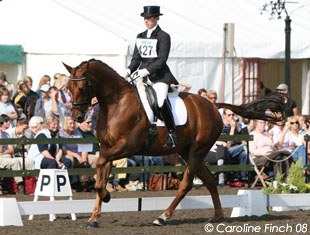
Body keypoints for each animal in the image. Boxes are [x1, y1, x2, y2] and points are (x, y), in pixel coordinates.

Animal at [64, 58, 284, 228]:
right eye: (68, 88)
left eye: (81, 88)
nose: (76, 117)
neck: (116, 104)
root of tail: (213, 105)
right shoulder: (108, 148)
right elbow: (101, 174)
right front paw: (94, 217)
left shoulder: (126, 147)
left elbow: (100, 166)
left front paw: (106, 197)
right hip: (188, 151)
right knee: (209, 180)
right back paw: (217, 216)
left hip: (197, 151)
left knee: (186, 184)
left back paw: (163, 217)